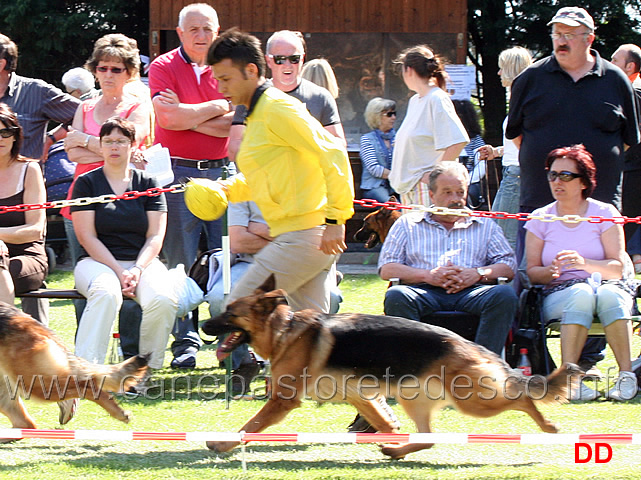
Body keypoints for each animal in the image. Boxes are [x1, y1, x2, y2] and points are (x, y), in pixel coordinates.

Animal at [204, 278, 580, 462]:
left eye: (230, 313)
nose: (205, 325)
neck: (284, 330)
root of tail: (476, 346)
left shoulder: (283, 400)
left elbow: (250, 426)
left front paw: (222, 444)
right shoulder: (361, 397)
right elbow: (386, 422)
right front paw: (389, 437)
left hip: (474, 402)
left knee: (523, 398)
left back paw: (548, 425)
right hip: (418, 401)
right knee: (428, 437)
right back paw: (396, 451)